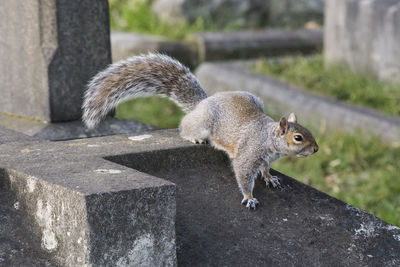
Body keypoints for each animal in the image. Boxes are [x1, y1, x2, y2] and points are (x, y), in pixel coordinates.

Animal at [82, 53, 318, 210]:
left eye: (309, 131)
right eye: (298, 137)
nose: (316, 149)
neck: (269, 138)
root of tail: (203, 103)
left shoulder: (266, 158)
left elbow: (266, 168)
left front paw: (269, 177)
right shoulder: (249, 153)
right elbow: (243, 173)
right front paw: (249, 197)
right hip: (202, 122)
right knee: (185, 126)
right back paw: (193, 137)